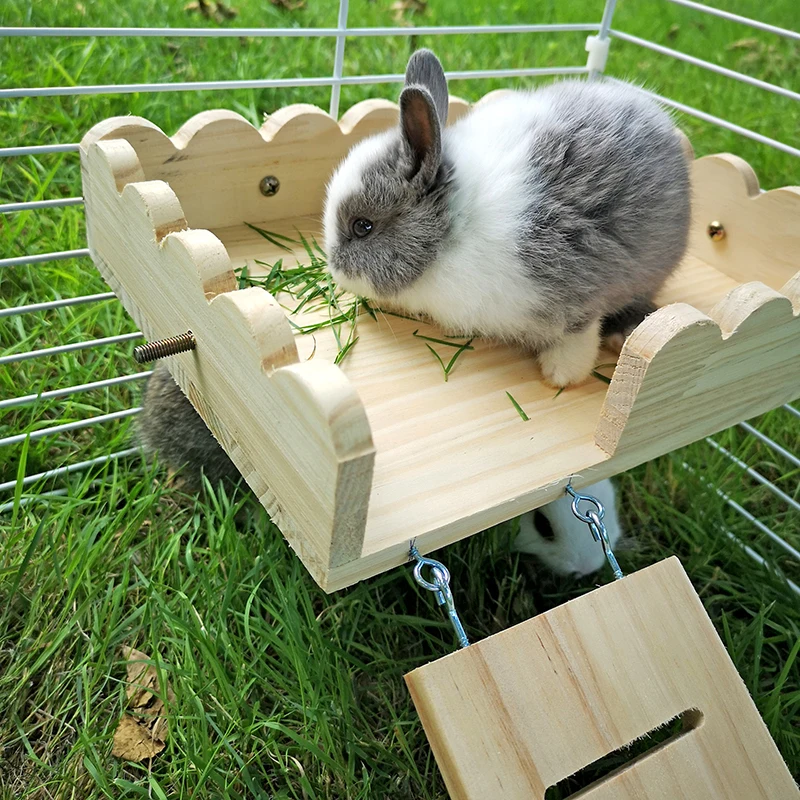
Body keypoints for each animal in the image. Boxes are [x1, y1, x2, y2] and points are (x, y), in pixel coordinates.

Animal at [323, 49, 691, 386]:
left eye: (363, 226)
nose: (334, 269)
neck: (455, 227)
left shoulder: (575, 286)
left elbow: (578, 335)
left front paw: (561, 375)